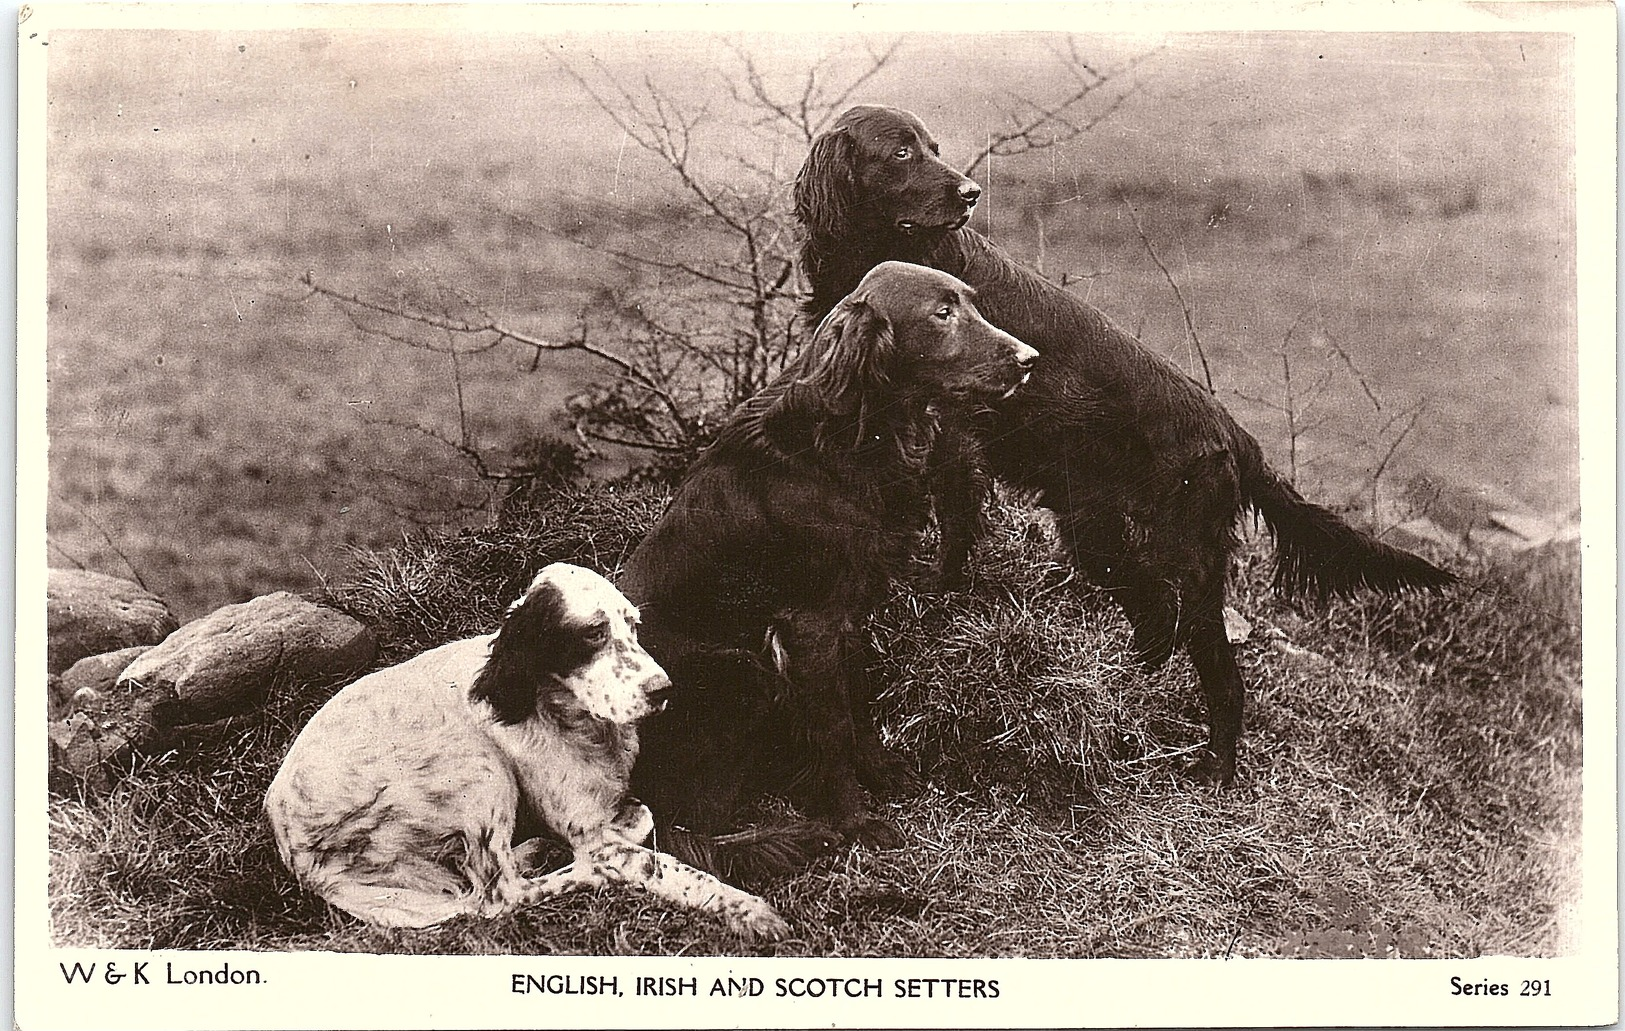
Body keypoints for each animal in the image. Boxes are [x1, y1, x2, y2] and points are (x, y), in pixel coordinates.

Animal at [614, 258, 1033, 865]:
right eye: (942, 313)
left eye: (971, 303)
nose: (1030, 360)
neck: (847, 438)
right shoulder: (809, 624)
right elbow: (833, 731)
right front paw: (855, 821)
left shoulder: (849, 610)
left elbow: (856, 701)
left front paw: (880, 769)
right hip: (743, 669)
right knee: (691, 831)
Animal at [793, 102, 1456, 777]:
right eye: (903, 152)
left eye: (932, 147)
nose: (970, 193)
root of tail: (1234, 437)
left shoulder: (954, 431)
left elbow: (953, 515)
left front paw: (937, 586)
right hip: (1100, 531)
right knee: (1154, 618)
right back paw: (1123, 680)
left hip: (1185, 557)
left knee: (1216, 667)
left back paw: (1215, 768)